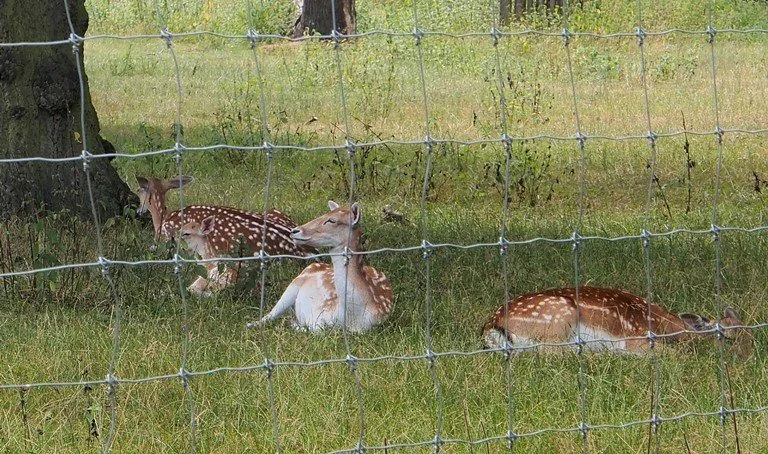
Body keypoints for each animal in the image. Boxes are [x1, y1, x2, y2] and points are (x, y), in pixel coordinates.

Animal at [247, 201, 394, 333]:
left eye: (332, 220)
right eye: (324, 214)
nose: (295, 230)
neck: (352, 318)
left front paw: (295, 323)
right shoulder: (320, 314)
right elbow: (317, 329)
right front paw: (295, 323)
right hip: (294, 284)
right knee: (270, 314)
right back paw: (251, 324)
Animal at [482, 286, 753, 358]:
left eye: (753, 337)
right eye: (727, 338)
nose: (749, 358)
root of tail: (491, 325)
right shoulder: (636, 338)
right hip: (558, 317)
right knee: (548, 352)